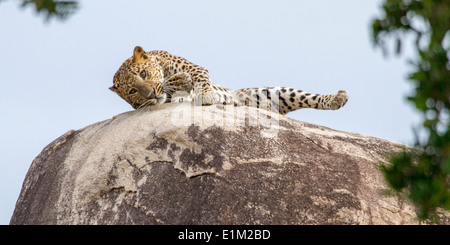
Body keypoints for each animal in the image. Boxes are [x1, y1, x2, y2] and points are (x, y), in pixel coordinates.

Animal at [110, 46, 350, 115]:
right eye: (132, 92)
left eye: (143, 74)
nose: (150, 94)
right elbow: (170, 93)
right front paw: (177, 85)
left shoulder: (193, 67)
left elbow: (198, 78)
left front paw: (205, 94)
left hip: (273, 92)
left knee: (310, 98)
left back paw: (337, 98)